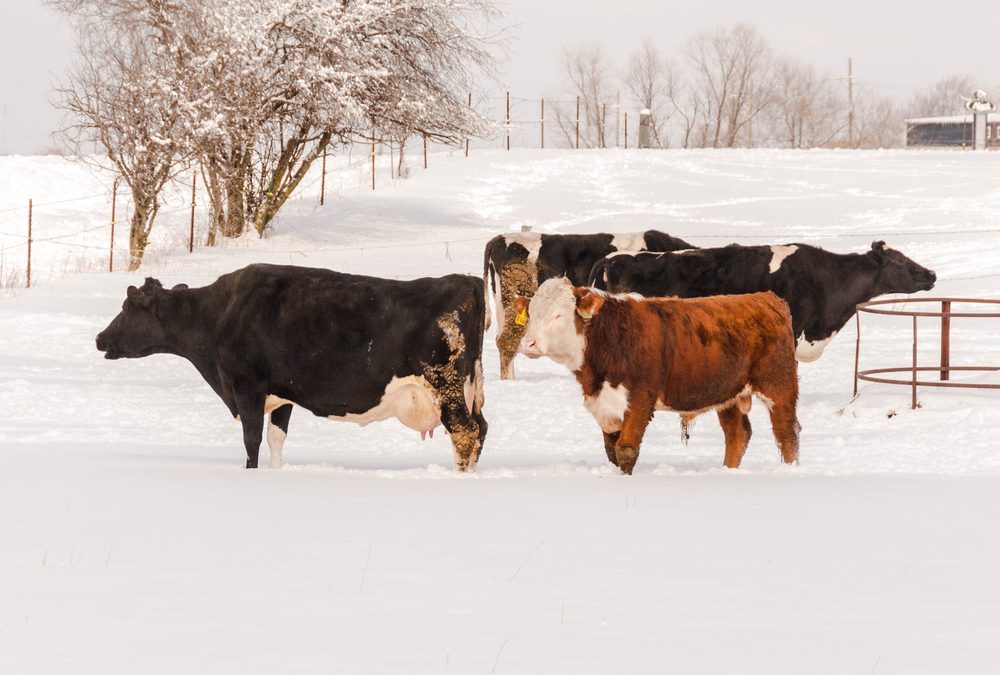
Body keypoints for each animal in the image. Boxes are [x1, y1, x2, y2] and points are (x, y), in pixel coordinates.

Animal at [95, 264, 486, 470]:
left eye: (128, 307)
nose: (100, 338)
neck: (218, 315)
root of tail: (465, 279)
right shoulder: (281, 393)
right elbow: (276, 438)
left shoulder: (247, 385)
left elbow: (251, 438)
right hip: (470, 389)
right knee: (480, 428)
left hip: (445, 386)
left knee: (465, 432)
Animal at [516, 278, 796, 472]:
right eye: (531, 313)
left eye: (558, 314)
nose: (528, 344)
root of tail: (767, 298)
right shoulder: (605, 406)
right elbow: (611, 452)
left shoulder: (640, 399)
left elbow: (626, 450)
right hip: (728, 394)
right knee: (737, 435)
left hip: (779, 386)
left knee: (787, 434)